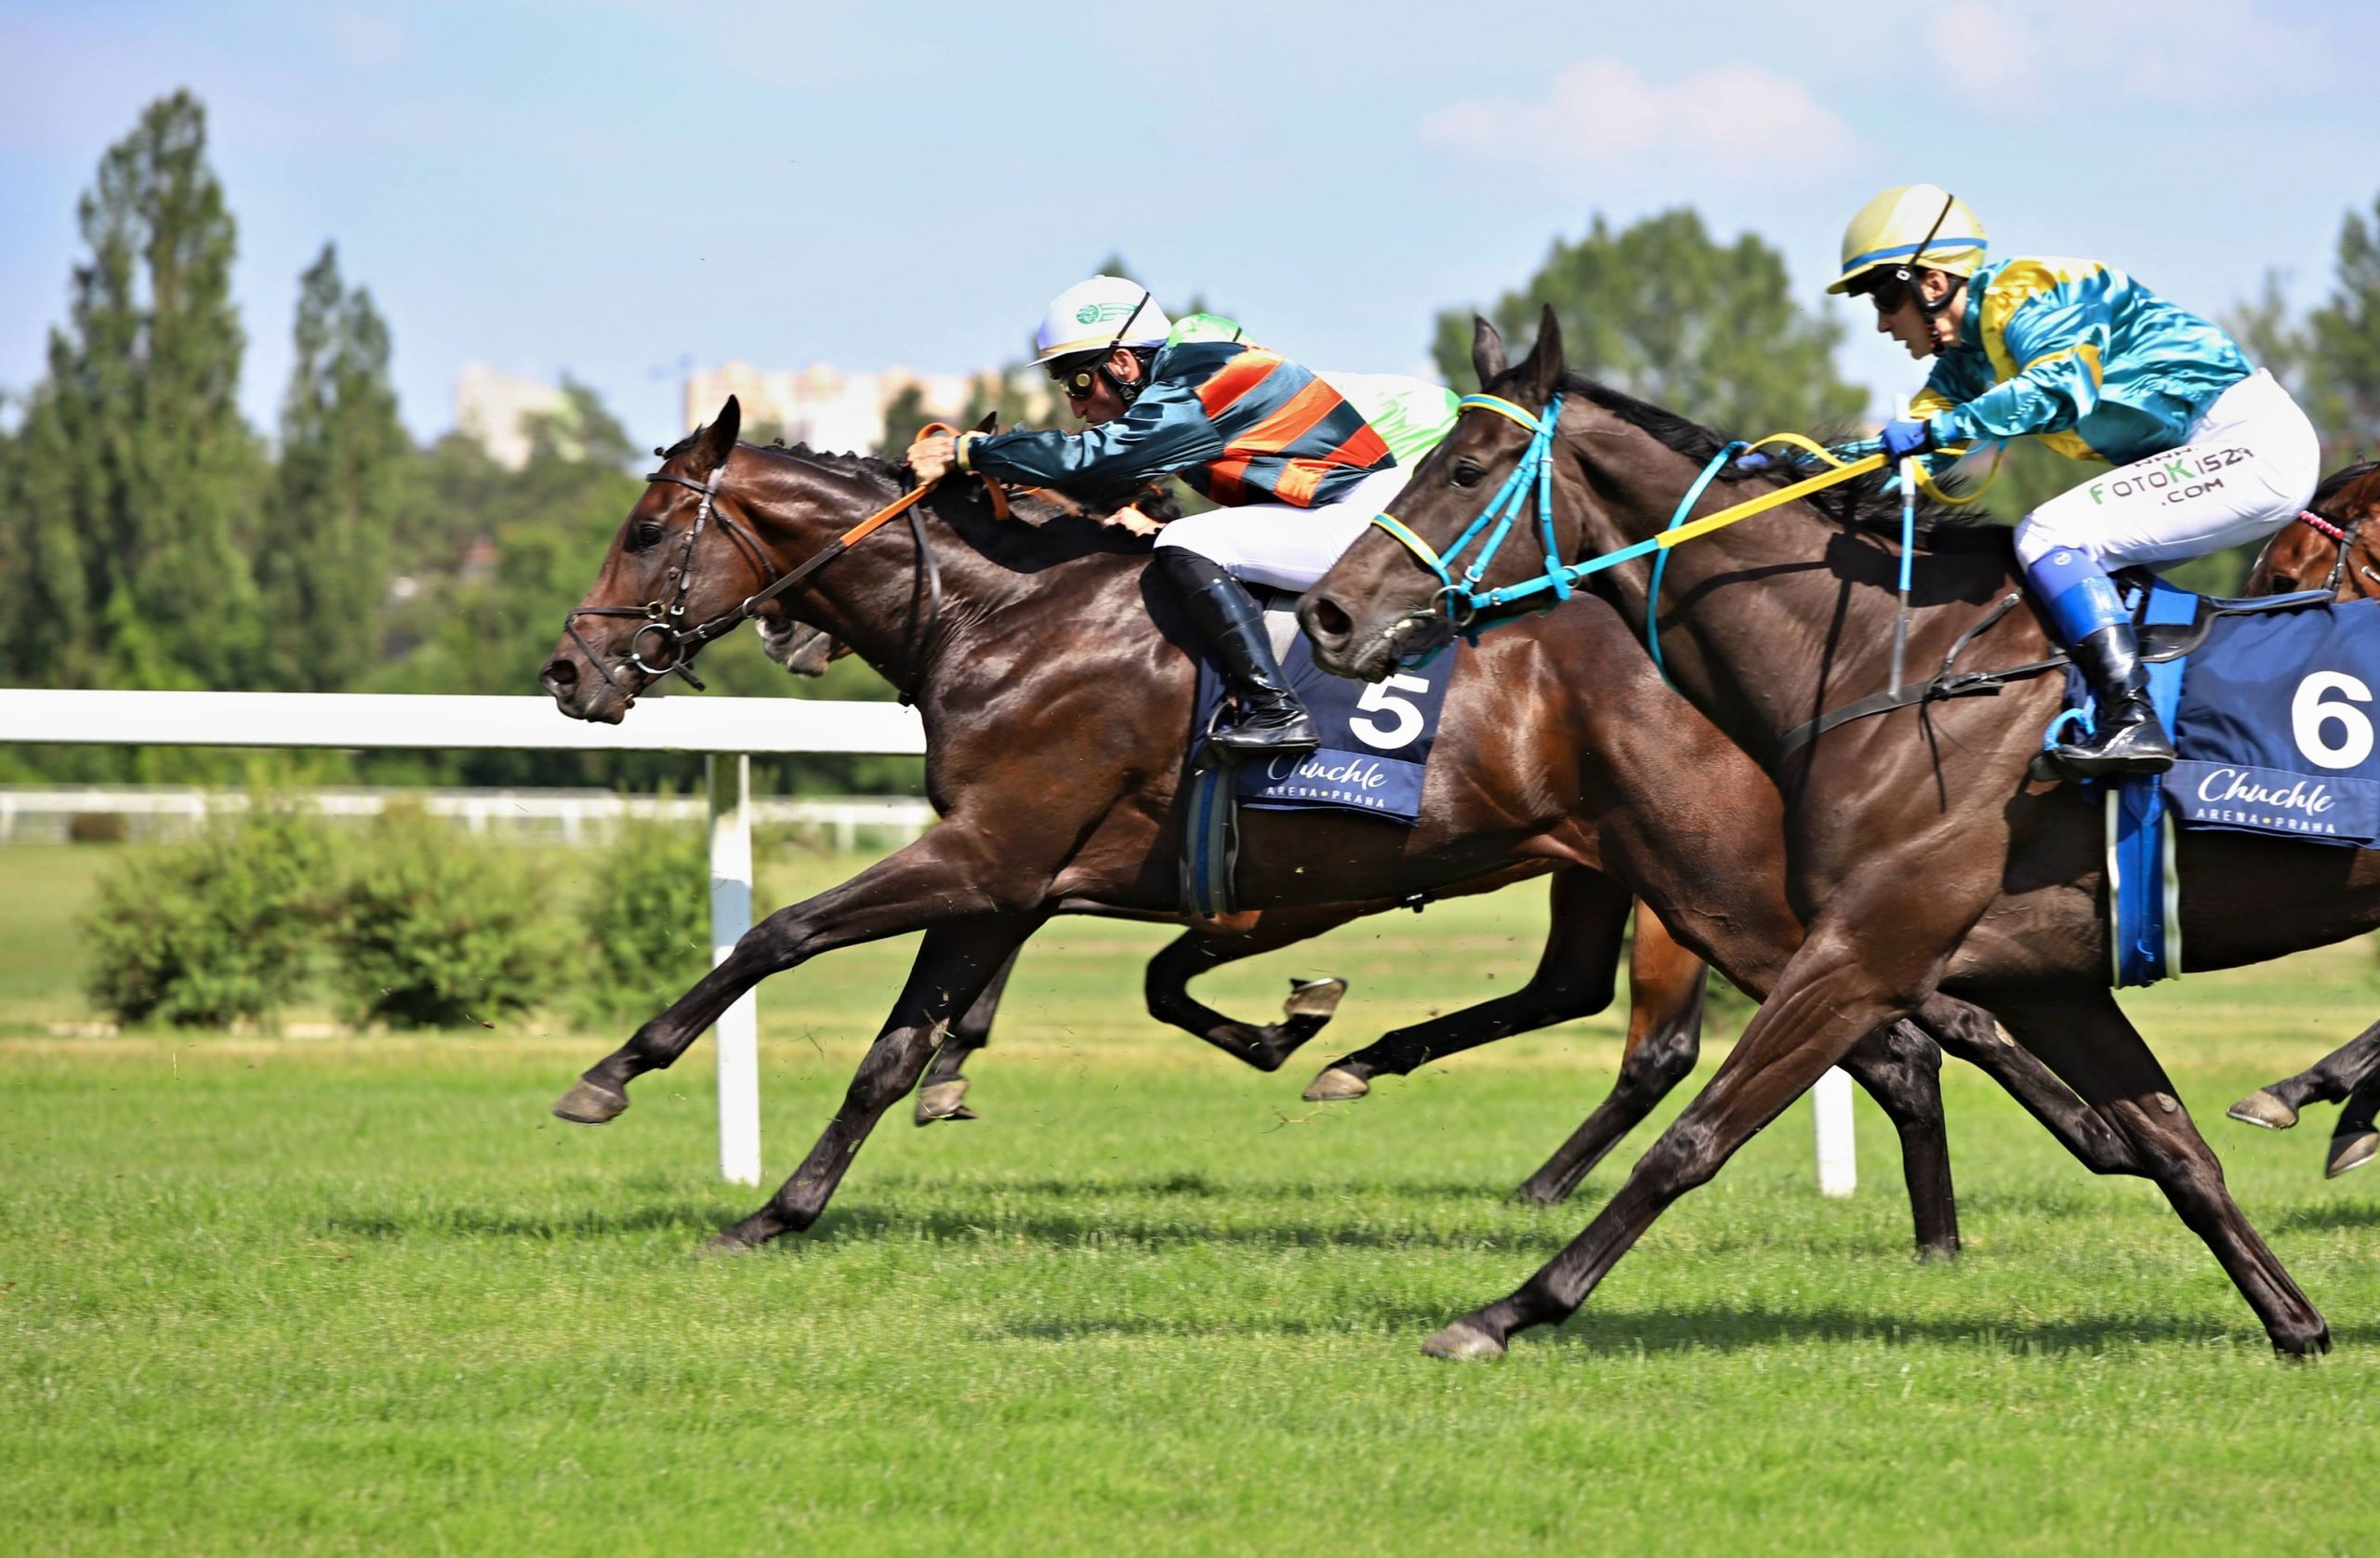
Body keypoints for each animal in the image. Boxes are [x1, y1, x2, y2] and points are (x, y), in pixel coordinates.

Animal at [540, 399, 2122, 1256]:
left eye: (644, 530)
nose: (570, 671)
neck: (1002, 618)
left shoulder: (987, 856)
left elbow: (782, 936)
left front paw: (613, 1076)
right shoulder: (1007, 874)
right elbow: (891, 1049)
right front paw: (780, 1209)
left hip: (1728, 887)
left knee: (1898, 1039)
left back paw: (1954, 1228)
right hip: (1637, 872)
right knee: (1824, 1024)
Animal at [1303, 311, 2380, 1360]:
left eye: (1464, 469)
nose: (1326, 612)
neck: (1894, 667)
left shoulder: (1863, 951)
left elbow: (1694, 1139)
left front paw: (1507, 1311)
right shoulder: (2047, 980)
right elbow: (2175, 1150)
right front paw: (2296, 1323)